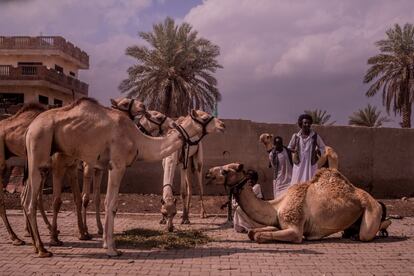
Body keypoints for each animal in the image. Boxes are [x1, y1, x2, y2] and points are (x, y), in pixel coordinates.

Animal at [206, 164, 392, 244]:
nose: (208, 174)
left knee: (367, 233)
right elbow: (252, 232)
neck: (276, 206)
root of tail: (376, 201)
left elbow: (259, 236)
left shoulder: (295, 229)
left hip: (371, 209)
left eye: (226, 171)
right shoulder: (279, 223)